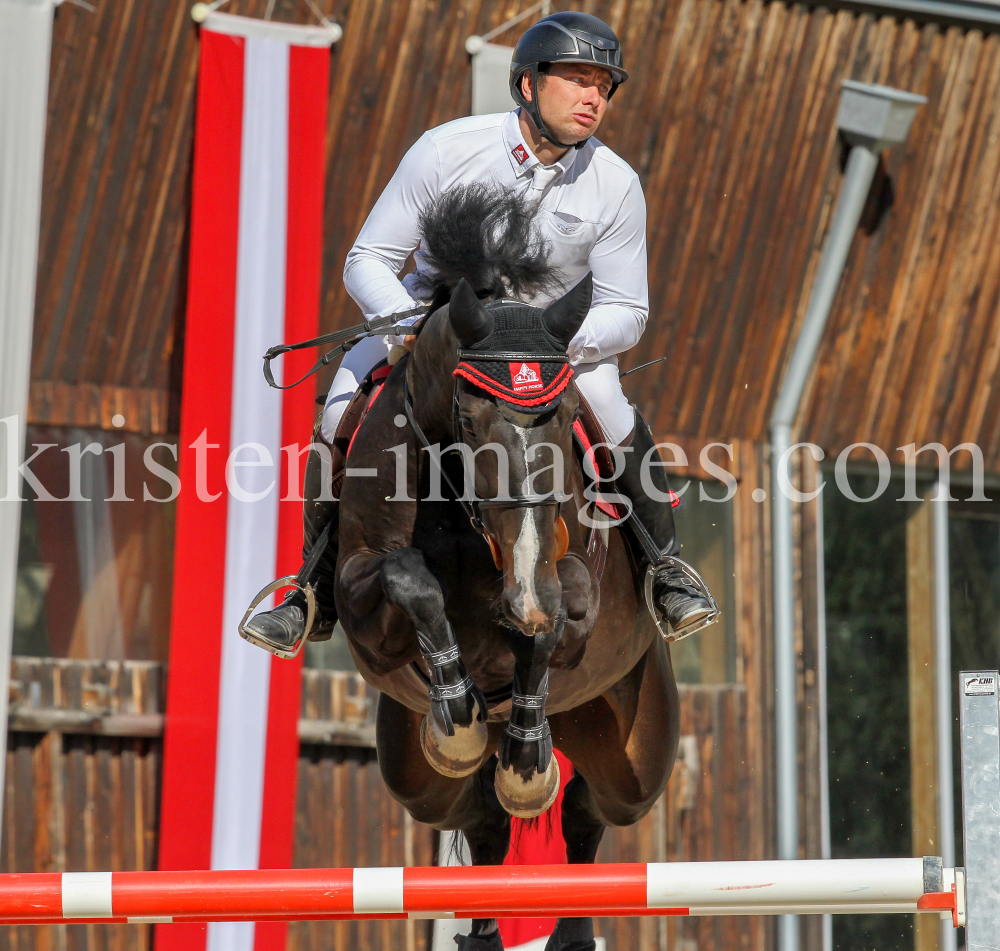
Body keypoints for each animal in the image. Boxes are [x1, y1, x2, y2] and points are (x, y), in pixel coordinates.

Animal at [336, 186, 680, 951]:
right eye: (468, 419)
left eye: (563, 412)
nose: (522, 588)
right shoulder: (361, 601)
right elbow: (410, 579)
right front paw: (460, 714)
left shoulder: (567, 584)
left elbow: (553, 621)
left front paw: (526, 756)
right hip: (413, 773)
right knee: (481, 818)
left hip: (634, 752)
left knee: (587, 812)